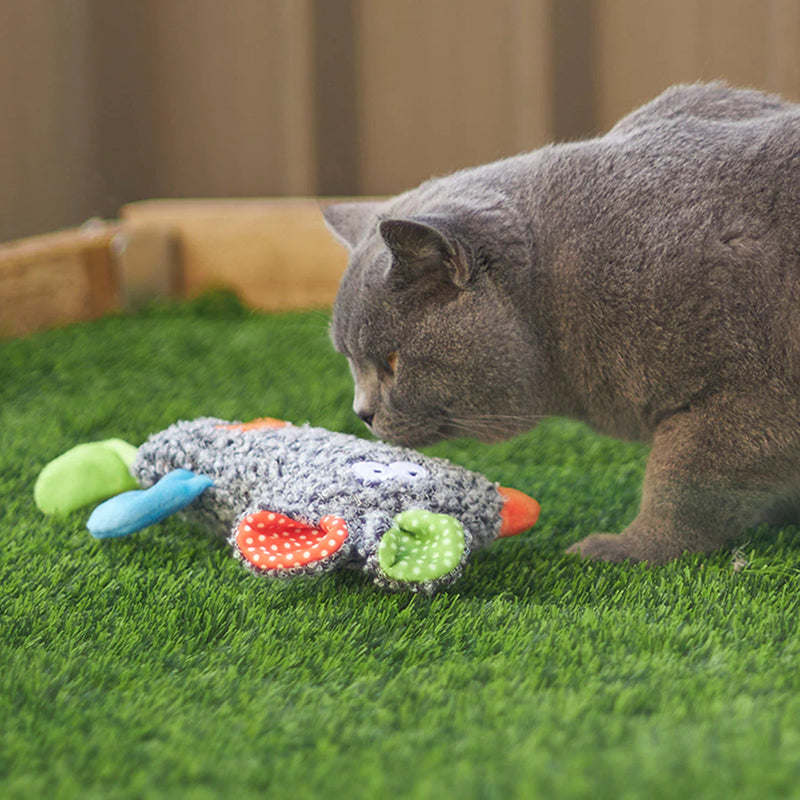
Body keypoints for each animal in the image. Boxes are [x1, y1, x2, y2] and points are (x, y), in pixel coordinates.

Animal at [322, 83, 800, 564]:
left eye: (392, 360)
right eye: (350, 360)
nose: (361, 413)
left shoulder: (753, 396)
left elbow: (684, 482)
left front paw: (626, 550)